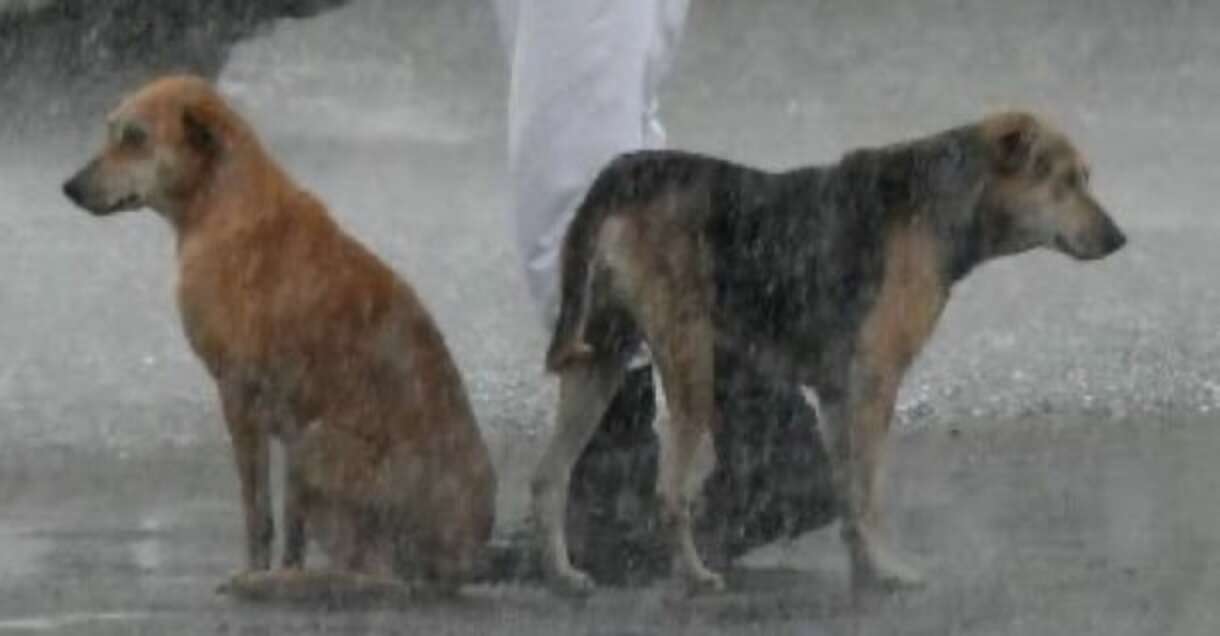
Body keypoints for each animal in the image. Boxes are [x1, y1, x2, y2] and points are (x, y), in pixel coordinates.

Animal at [539, 111, 1127, 593]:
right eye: (1064, 181)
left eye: (1086, 177)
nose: (1118, 239)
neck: (946, 200)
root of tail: (626, 170)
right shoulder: (875, 382)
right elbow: (868, 491)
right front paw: (889, 571)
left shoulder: (837, 393)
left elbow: (848, 495)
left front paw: (864, 568)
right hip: (689, 360)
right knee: (668, 493)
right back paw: (695, 575)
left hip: (601, 357)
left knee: (550, 476)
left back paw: (564, 574)